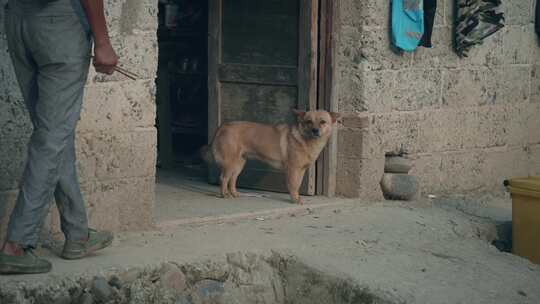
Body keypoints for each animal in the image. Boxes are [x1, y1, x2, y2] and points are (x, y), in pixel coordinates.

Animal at [205, 109, 340, 204]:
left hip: (239, 164)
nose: (315, 130)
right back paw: (224, 194)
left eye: (323, 122)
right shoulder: (293, 169)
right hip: (230, 163)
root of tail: (223, 126)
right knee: (223, 178)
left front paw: (296, 197)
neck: (305, 140)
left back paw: (234, 193)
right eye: (309, 122)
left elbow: (298, 185)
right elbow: (294, 185)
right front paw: (295, 199)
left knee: (232, 179)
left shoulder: (301, 170)